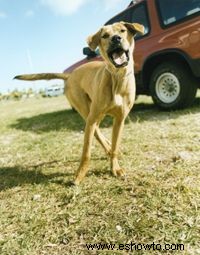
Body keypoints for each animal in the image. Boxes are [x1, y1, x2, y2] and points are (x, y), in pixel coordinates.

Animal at [14, 21, 145, 184]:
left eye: (122, 30)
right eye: (105, 36)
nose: (116, 38)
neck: (117, 78)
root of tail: (69, 75)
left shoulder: (120, 119)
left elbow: (115, 146)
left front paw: (115, 167)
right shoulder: (93, 118)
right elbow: (86, 151)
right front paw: (80, 174)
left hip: (96, 113)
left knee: (98, 131)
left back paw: (108, 148)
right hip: (87, 110)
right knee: (95, 131)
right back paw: (105, 148)